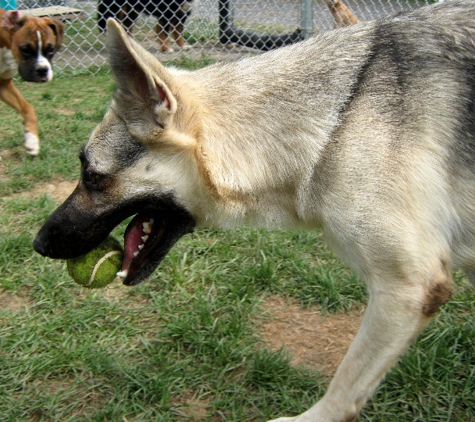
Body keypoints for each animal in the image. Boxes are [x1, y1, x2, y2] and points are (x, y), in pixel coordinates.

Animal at [0, 9, 64, 155]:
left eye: (51, 49)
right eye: (25, 49)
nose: (42, 70)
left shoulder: (3, 85)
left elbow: (27, 108)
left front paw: (32, 140)